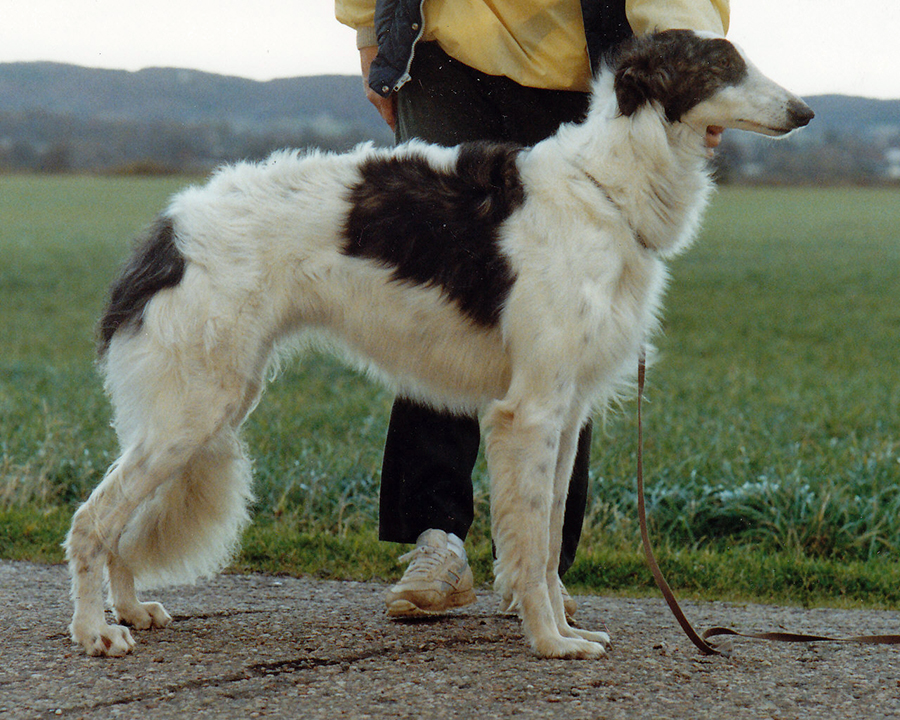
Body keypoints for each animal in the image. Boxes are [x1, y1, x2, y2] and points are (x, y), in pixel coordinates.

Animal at [65, 29, 808, 660]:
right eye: (723, 65)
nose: (803, 111)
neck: (604, 190)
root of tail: (170, 227)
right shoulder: (528, 411)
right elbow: (529, 541)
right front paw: (550, 642)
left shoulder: (567, 413)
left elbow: (546, 541)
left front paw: (568, 629)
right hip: (195, 407)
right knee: (92, 521)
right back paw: (95, 632)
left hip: (210, 400)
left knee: (120, 523)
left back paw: (132, 611)